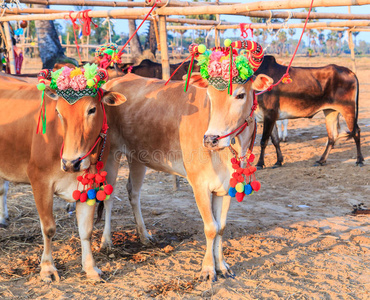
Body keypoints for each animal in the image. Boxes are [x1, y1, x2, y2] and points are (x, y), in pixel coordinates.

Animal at [0, 72, 125, 282]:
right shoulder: (40, 181)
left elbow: (86, 230)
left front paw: (90, 267)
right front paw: (47, 268)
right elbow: (48, 228)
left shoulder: (88, 186)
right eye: (58, 112)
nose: (70, 163)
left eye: (92, 109)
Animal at [102, 42, 274, 278]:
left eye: (240, 95)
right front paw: (208, 269)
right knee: (108, 196)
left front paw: (222, 265)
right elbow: (210, 227)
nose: (210, 139)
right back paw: (106, 242)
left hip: (137, 157)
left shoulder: (224, 188)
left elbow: (221, 227)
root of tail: (111, 83)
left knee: (133, 192)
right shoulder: (199, 185)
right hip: (111, 153)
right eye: (209, 95)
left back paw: (144, 236)